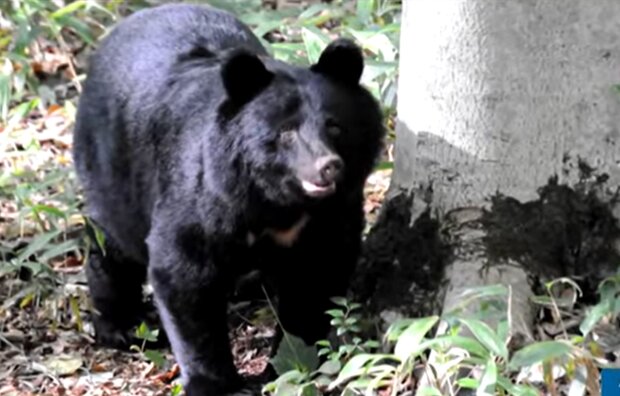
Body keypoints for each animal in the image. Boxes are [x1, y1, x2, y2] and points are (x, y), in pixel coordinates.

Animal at [72, 3, 382, 396]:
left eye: (335, 126)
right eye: (286, 132)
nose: (328, 167)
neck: (278, 202)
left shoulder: (333, 211)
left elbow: (317, 271)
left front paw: (291, 362)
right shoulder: (205, 194)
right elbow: (184, 272)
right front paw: (218, 384)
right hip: (113, 162)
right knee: (113, 242)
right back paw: (121, 325)